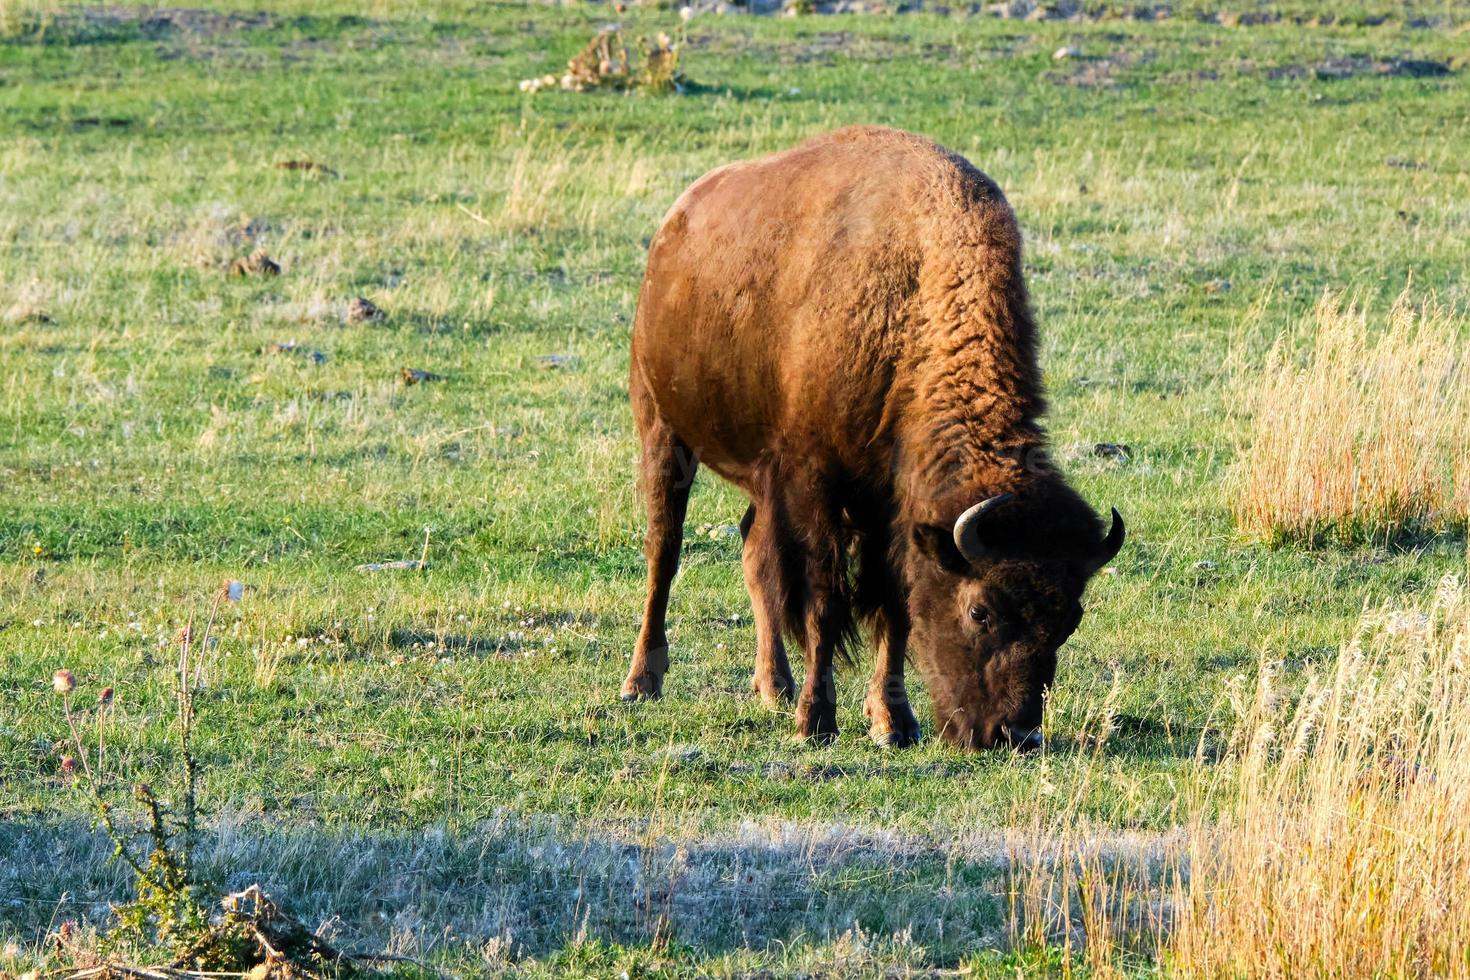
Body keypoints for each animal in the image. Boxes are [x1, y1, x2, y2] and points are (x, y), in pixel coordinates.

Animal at [614, 124, 1117, 752]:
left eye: (1070, 618)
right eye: (980, 611)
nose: (1013, 733)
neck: (913, 297)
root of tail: (674, 225)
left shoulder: (886, 510)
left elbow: (892, 608)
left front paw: (893, 722)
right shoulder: (816, 482)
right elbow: (825, 604)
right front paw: (816, 721)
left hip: (759, 480)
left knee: (755, 553)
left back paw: (773, 686)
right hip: (662, 429)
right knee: (665, 550)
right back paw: (642, 681)